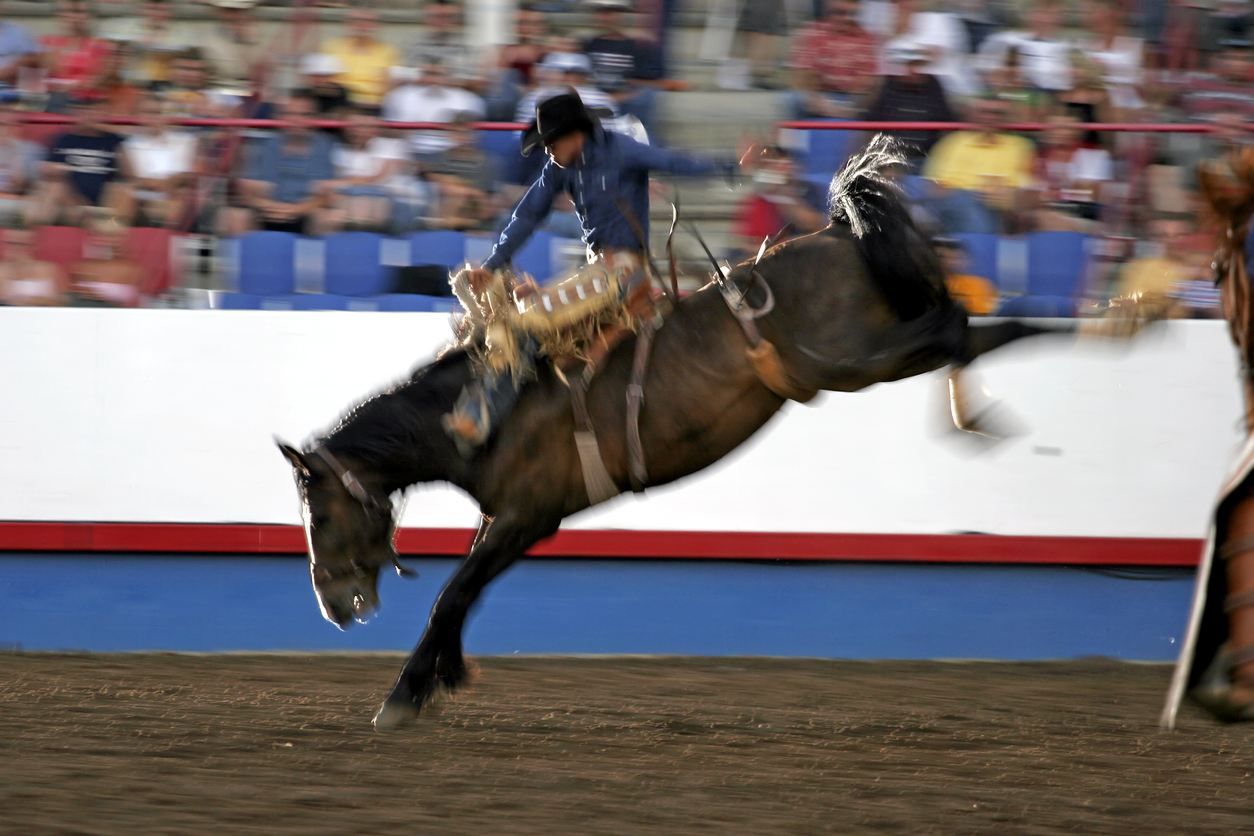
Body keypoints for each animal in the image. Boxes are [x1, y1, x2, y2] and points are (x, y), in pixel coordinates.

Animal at [284, 137, 1148, 731]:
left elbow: (454, 593)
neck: (480, 411)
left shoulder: (527, 513)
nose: (330, 605)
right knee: (980, 331)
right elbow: (462, 594)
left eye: (319, 510)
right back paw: (1102, 336)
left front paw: (404, 696)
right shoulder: (515, 519)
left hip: (858, 361)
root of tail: (838, 232)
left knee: (956, 328)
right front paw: (441, 678)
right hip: (878, 352)